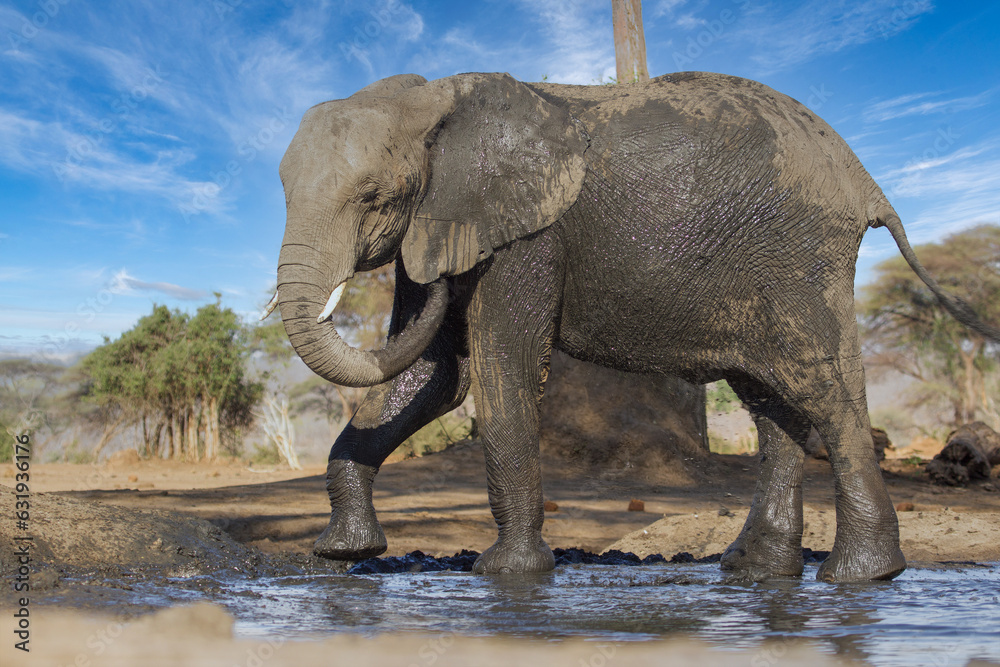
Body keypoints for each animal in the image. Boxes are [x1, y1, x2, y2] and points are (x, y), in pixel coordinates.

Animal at [270, 71, 1000, 583]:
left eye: (375, 198)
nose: (441, 286)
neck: (436, 101)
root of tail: (865, 180)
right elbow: (435, 377)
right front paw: (343, 553)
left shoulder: (531, 236)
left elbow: (500, 369)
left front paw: (507, 574)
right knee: (772, 401)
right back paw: (755, 571)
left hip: (799, 256)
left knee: (821, 386)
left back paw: (860, 576)